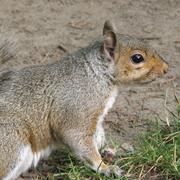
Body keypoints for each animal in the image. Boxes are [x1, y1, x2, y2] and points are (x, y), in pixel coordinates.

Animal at [0, 20, 169, 179]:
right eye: (137, 58)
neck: (96, 74)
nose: (166, 68)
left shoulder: (96, 119)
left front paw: (111, 150)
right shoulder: (77, 110)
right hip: (12, 141)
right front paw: (105, 168)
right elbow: (78, 139)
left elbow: (98, 138)